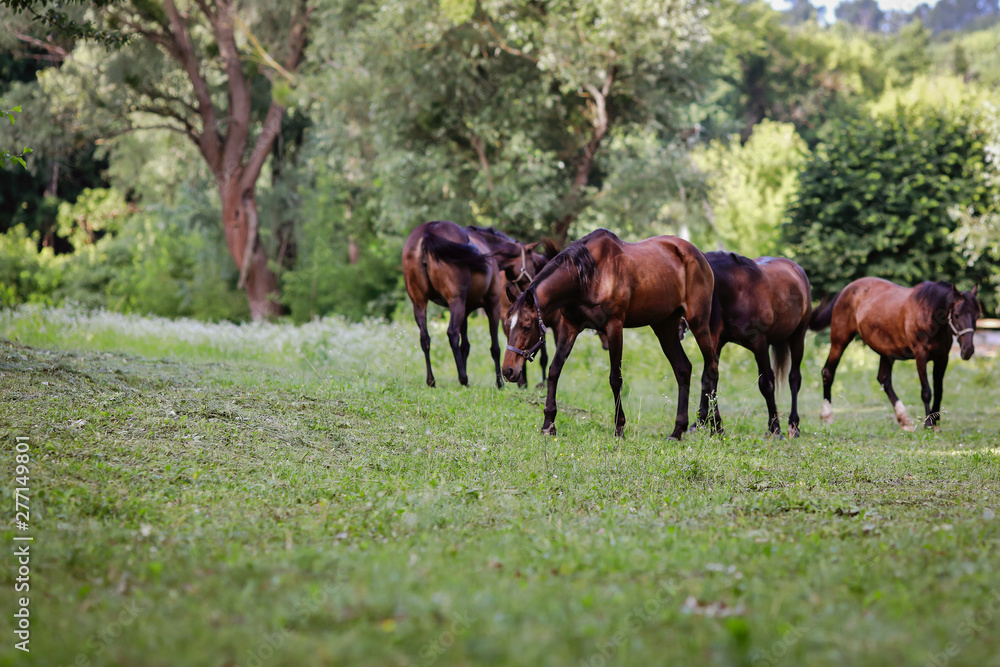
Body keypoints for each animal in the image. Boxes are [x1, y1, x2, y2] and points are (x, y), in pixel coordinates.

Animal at [402, 221, 539, 388]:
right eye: (533, 263)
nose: (531, 286)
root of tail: (428, 231)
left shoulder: (466, 310)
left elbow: (465, 346)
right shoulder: (492, 305)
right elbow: (495, 347)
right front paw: (499, 382)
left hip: (419, 303)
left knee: (425, 338)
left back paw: (431, 380)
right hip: (456, 302)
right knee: (452, 334)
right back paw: (463, 378)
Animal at [501, 228, 720, 440]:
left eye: (526, 327)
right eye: (506, 325)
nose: (508, 371)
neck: (588, 276)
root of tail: (696, 255)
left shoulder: (614, 327)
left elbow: (616, 378)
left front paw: (619, 428)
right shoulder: (570, 327)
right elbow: (554, 371)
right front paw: (548, 424)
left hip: (698, 323)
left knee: (711, 369)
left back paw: (716, 427)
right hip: (665, 326)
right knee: (683, 369)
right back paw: (677, 431)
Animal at [703, 252, 813, 438]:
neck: (736, 292)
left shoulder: (759, 344)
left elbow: (766, 384)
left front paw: (775, 429)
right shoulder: (716, 344)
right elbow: (710, 382)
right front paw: (710, 427)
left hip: (798, 336)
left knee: (794, 378)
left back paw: (794, 425)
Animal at [809, 278, 981, 430]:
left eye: (977, 316)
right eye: (957, 315)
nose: (968, 350)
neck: (929, 312)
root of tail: (846, 290)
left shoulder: (942, 358)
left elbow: (939, 391)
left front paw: (936, 420)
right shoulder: (921, 356)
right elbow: (926, 391)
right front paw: (928, 424)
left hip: (886, 351)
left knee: (884, 380)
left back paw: (904, 420)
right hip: (840, 340)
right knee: (828, 372)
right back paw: (826, 416)